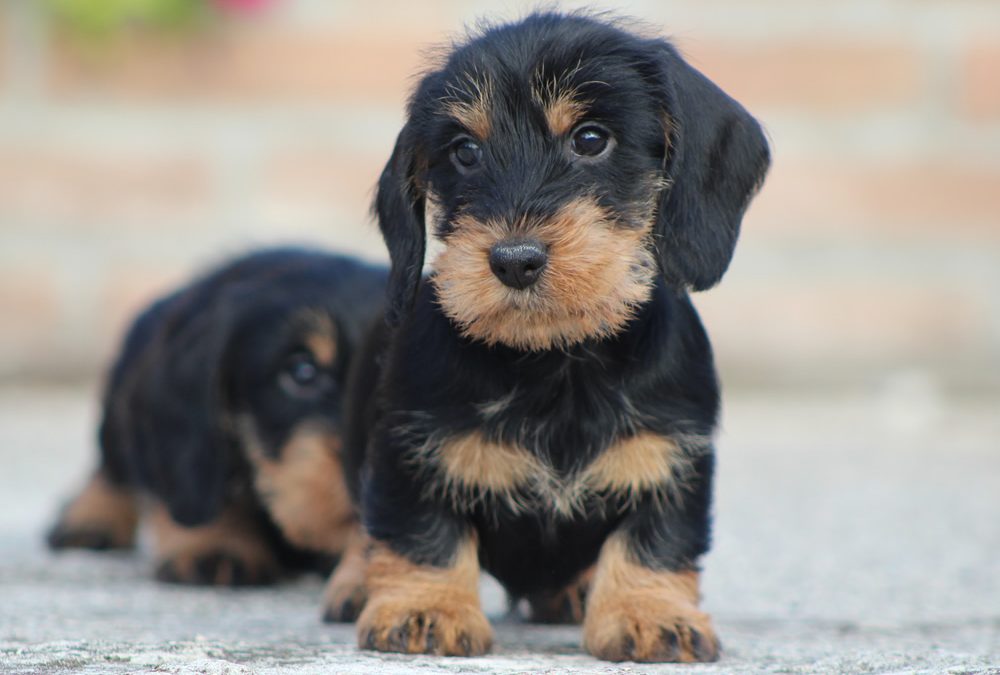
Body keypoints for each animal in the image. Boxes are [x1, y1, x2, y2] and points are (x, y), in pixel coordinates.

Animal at [328, 11, 772, 664]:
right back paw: (357, 582)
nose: (514, 261)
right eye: (465, 151)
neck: (556, 361)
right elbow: (421, 533)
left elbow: (653, 542)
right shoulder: (409, 454)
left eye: (590, 139)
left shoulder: (672, 460)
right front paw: (426, 609)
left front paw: (651, 615)